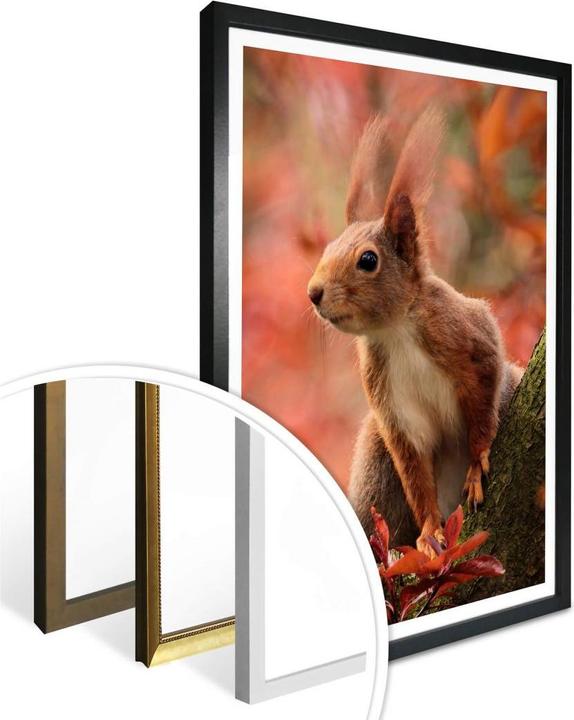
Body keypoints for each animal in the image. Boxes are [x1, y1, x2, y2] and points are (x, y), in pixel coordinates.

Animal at [307, 108, 523, 558]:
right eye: (327, 249)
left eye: (368, 260)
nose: (313, 293)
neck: (395, 331)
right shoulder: (393, 409)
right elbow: (414, 470)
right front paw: (428, 532)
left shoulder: (470, 343)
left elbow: (482, 408)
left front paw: (477, 464)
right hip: (374, 454)